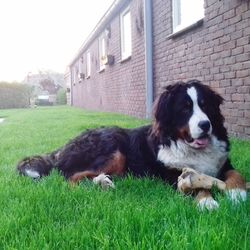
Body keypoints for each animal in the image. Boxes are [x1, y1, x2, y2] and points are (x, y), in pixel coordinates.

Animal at [16, 79, 247, 209]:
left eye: (205, 105)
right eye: (185, 108)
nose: (205, 125)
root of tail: (62, 148)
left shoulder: (224, 164)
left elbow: (236, 175)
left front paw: (237, 193)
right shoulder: (172, 174)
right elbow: (195, 186)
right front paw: (207, 202)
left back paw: (104, 182)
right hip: (114, 145)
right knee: (69, 178)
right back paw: (94, 186)